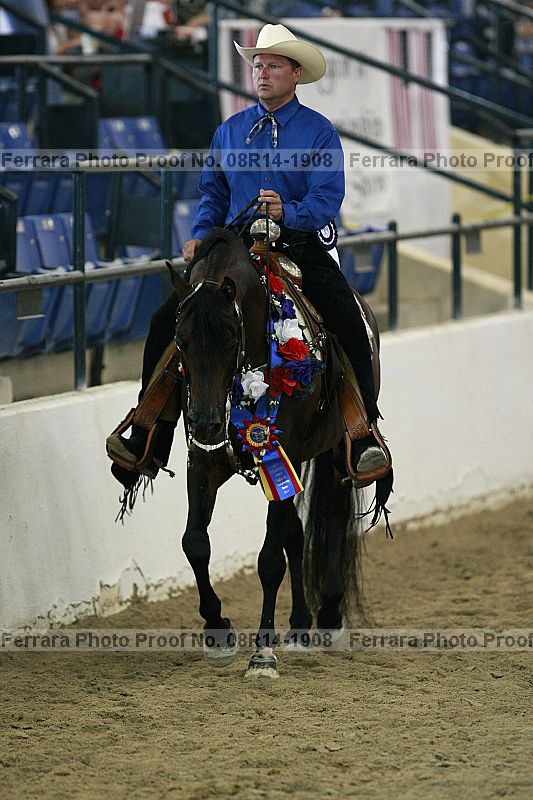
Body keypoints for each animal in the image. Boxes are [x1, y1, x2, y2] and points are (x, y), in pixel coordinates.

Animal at [166, 226, 386, 678]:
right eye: (180, 339)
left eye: (230, 337)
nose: (206, 422)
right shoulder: (204, 461)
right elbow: (195, 543)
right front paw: (218, 630)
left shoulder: (284, 451)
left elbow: (269, 561)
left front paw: (262, 653)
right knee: (296, 535)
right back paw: (300, 625)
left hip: (334, 453)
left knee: (333, 516)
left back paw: (330, 616)